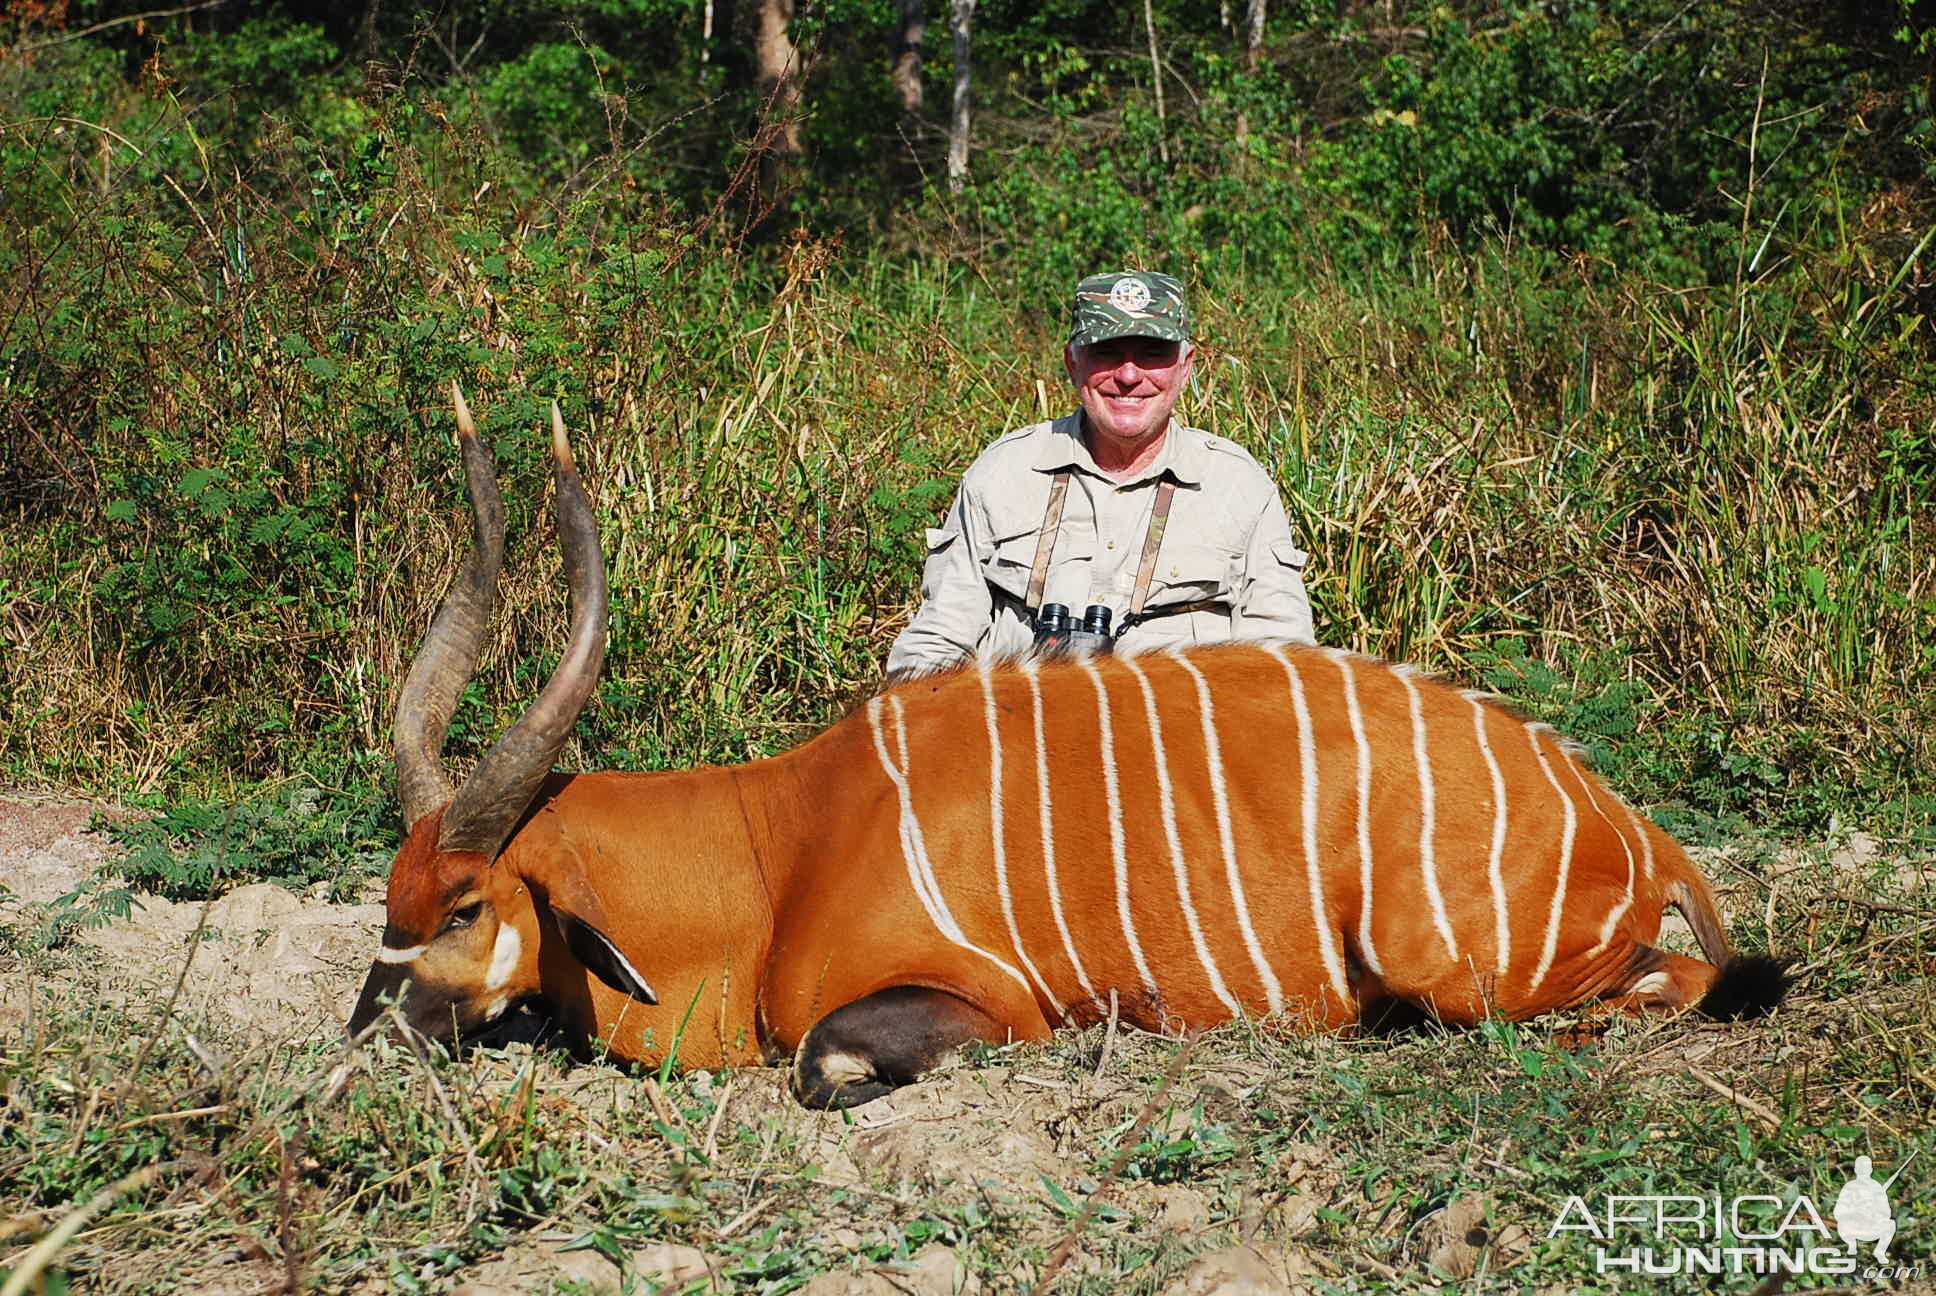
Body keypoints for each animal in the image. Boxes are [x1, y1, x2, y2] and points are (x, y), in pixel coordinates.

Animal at [348, 387, 1781, 1100]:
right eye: (392, 899)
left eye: (468, 904)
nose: (366, 1041)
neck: (778, 843)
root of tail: (1632, 826)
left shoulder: (980, 1000)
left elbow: (823, 1063)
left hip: (1457, 970)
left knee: (1682, 983)